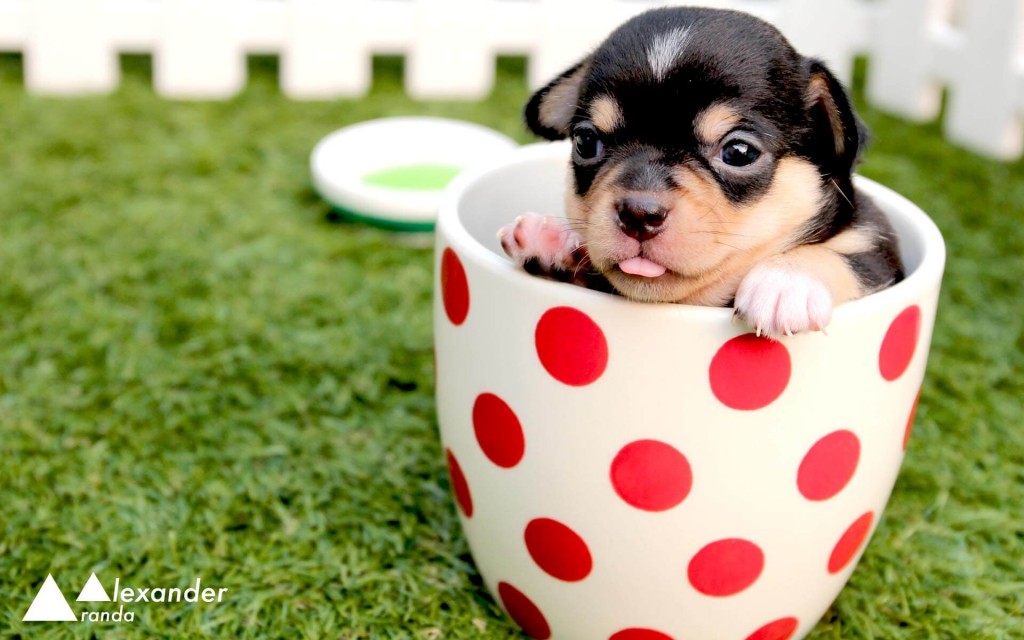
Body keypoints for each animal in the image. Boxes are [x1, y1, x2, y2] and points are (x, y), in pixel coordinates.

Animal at [497, 7, 905, 337]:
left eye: (739, 152)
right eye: (585, 142)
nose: (638, 213)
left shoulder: (879, 251)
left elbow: (846, 257)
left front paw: (786, 282)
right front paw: (550, 238)